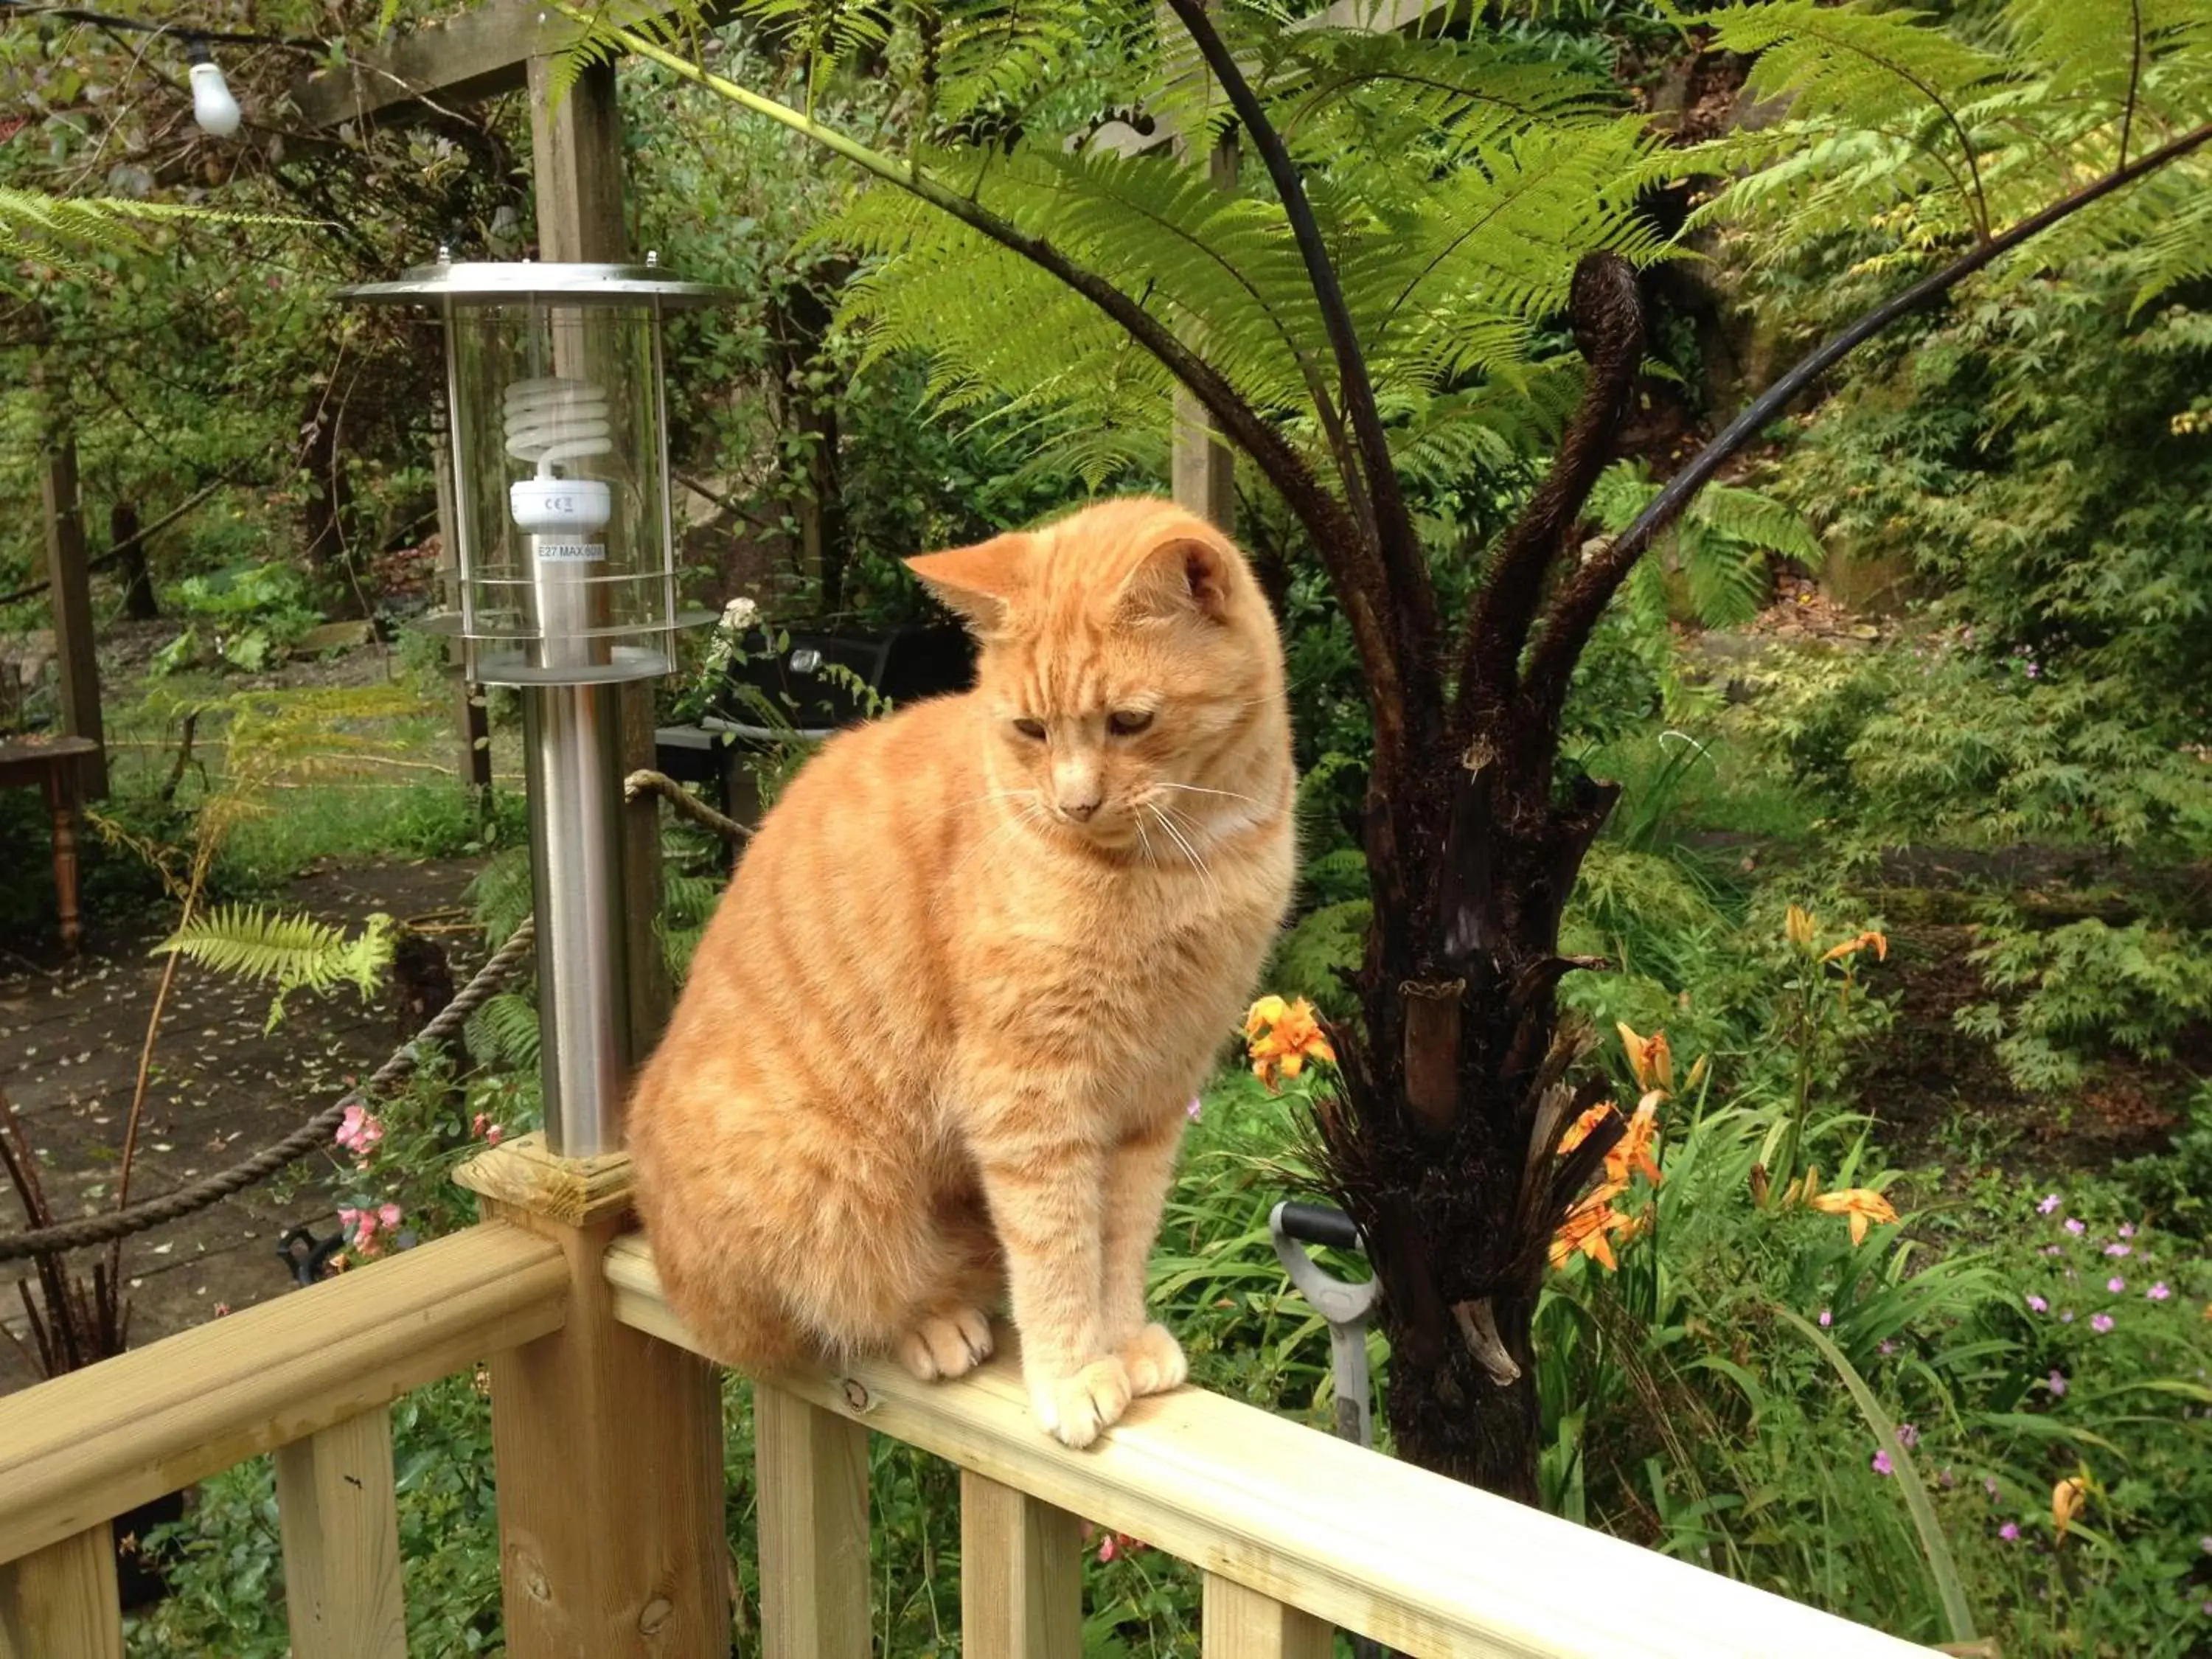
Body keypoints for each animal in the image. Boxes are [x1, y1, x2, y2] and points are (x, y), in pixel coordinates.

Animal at [628, 500, 1292, 1451]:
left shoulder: (1154, 1097)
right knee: (846, 1304)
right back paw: (935, 1323)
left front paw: (1121, 1340)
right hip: (829, 1180)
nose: (1075, 803)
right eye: (1030, 730)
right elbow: (1057, 1246)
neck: (1185, 860)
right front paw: (1072, 1373)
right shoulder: (1031, 1097)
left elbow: (1122, 1237)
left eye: (1129, 723)